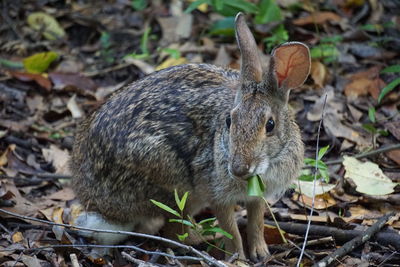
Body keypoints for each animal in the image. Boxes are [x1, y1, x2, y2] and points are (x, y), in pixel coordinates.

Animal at [70, 11, 310, 262]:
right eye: (229, 120)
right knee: (173, 230)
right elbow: (231, 230)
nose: (238, 169)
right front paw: (238, 259)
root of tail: (99, 204)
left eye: (270, 125)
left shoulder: (257, 197)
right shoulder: (217, 195)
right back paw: (203, 238)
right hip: (171, 182)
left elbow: (257, 222)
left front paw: (260, 253)